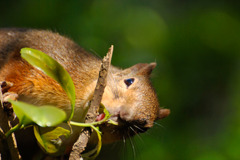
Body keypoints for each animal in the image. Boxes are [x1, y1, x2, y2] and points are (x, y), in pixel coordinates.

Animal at [0, 28, 170, 158]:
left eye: (142, 127)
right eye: (129, 81)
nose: (124, 115)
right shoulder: (47, 58)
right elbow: (15, 74)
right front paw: (9, 95)